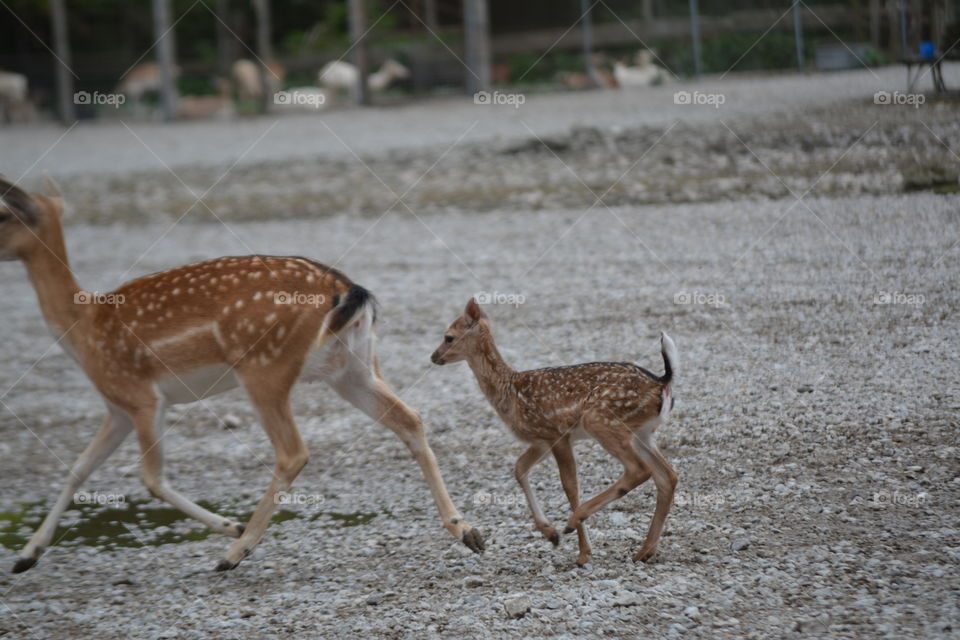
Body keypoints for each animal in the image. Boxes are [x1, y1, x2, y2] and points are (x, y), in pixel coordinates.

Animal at [0, 177, 484, 573]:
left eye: (3, 214)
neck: (83, 331)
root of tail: (350, 291)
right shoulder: (115, 406)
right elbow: (78, 468)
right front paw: (26, 555)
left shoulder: (139, 395)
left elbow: (151, 479)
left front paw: (229, 528)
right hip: (353, 367)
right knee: (409, 418)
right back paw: (467, 530)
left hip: (265, 368)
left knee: (293, 451)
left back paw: (235, 552)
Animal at [431, 299, 677, 566]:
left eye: (448, 337)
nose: (434, 357)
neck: (509, 392)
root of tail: (663, 383)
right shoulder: (540, 440)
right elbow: (520, 468)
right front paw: (551, 534)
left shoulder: (555, 433)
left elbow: (569, 486)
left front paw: (582, 552)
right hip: (642, 432)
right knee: (667, 476)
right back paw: (644, 551)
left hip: (600, 421)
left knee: (639, 470)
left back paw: (574, 521)